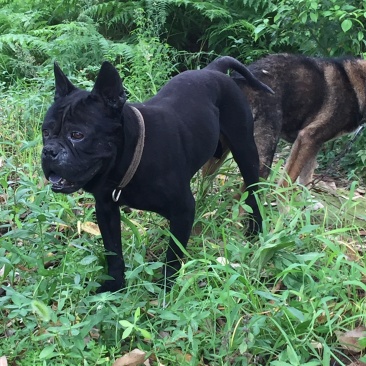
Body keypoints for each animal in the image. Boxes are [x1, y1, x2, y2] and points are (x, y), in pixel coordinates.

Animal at [41, 56, 274, 292]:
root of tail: (213, 69)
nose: (49, 151)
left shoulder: (182, 210)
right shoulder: (106, 209)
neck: (134, 155)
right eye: (45, 132)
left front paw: (165, 286)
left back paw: (255, 229)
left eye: (77, 135)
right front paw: (115, 284)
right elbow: (113, 250)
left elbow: (173, 254)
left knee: (253, 193)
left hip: (245, 150)